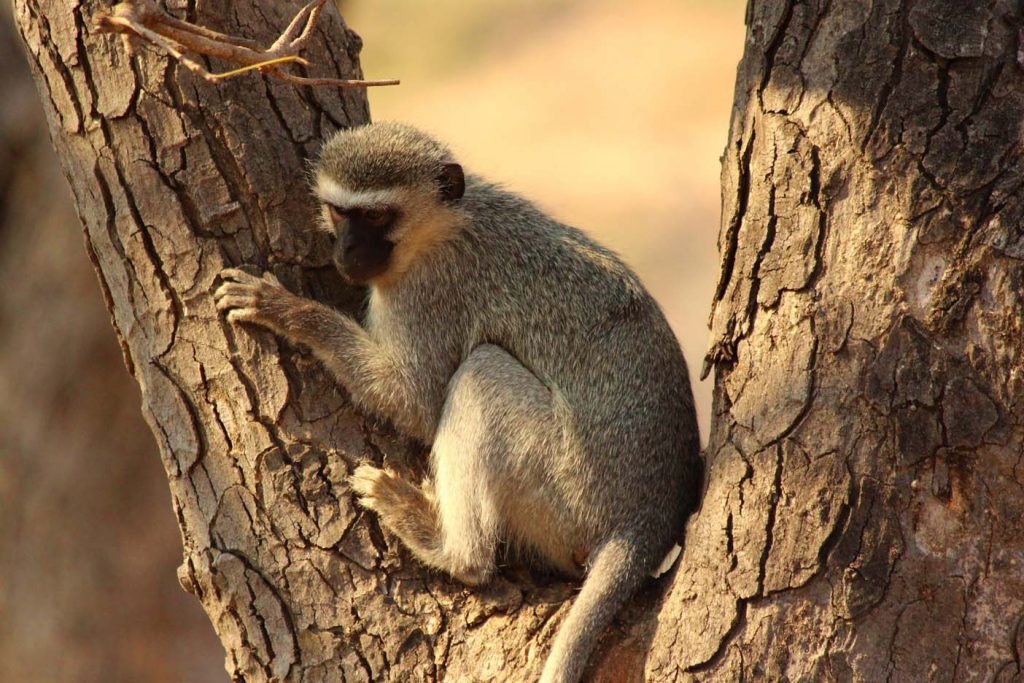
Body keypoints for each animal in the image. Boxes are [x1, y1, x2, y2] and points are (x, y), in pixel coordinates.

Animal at [216, 122, 704, 683]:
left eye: (377, 216)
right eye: (340, 212)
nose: (347, 251)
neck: (443, 225)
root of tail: (645, 522)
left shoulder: (429, 292)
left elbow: (415, 401)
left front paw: (288, 311)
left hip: (567, 491)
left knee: (479, 375)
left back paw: (449, 549)